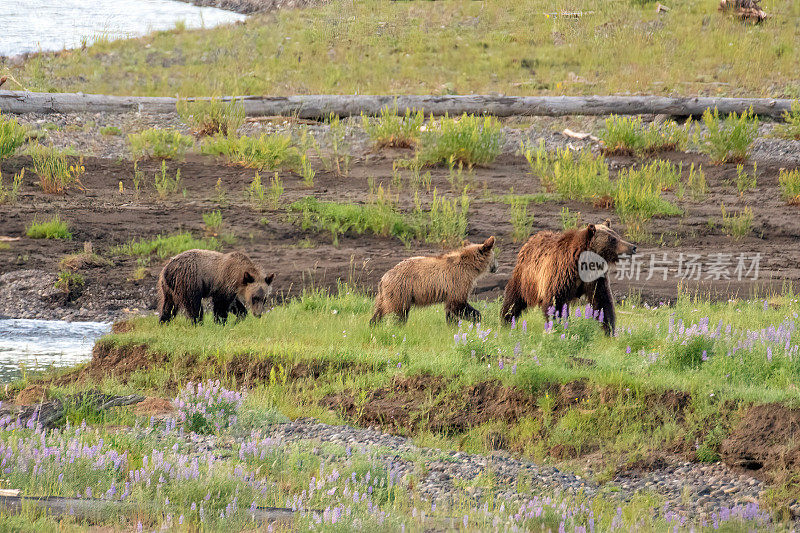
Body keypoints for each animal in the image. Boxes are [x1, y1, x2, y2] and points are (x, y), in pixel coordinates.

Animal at [500, 222, 636, 334]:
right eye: (612, 239)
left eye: (617, 235)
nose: (633, 247)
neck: (583, 263)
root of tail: (531, 240)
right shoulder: (561, 273)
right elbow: (555, 302)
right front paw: (558, 326)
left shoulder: (595, 278)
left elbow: (602, 301)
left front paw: (609, 330)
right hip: (526, 277)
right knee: (514, 299)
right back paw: (505, 321)